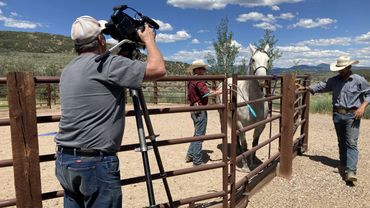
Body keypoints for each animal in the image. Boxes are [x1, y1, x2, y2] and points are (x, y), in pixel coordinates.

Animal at [217, 43, 268, 171]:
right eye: (253, 59)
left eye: (268, 59)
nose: (261, 80)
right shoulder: (241, 125)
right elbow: (245, 144)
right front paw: (245, 167)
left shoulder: (260, 125)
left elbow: (255, 143)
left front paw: (252, 163)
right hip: (223, 116)